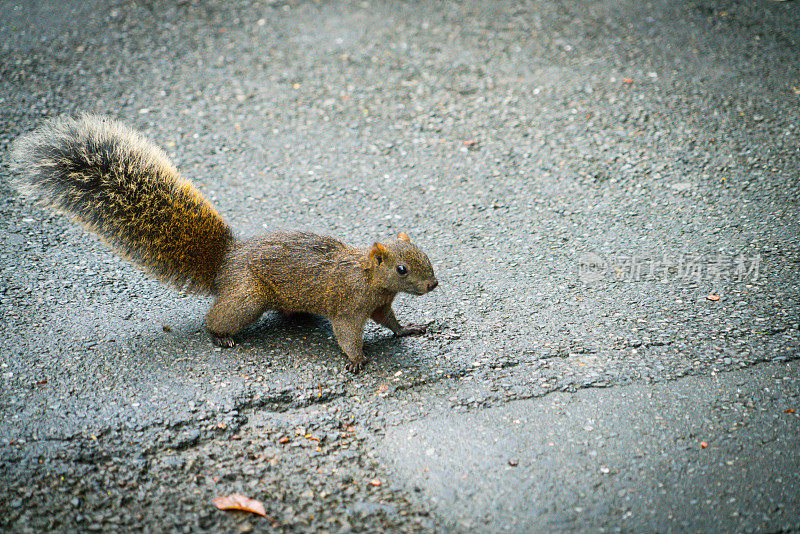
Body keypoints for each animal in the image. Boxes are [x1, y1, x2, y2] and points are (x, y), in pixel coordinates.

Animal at [10, 114, 438, 372]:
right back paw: (220, 337)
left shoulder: (379, 303)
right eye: (402, 268)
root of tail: (225, 262)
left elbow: (390, 321)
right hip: (247, 297)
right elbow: (348, 335)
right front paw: (356, 360)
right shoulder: (348, 307)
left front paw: (409, 330)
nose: (434, 284)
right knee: (218, 318)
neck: (369, 277)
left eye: (424, 255)